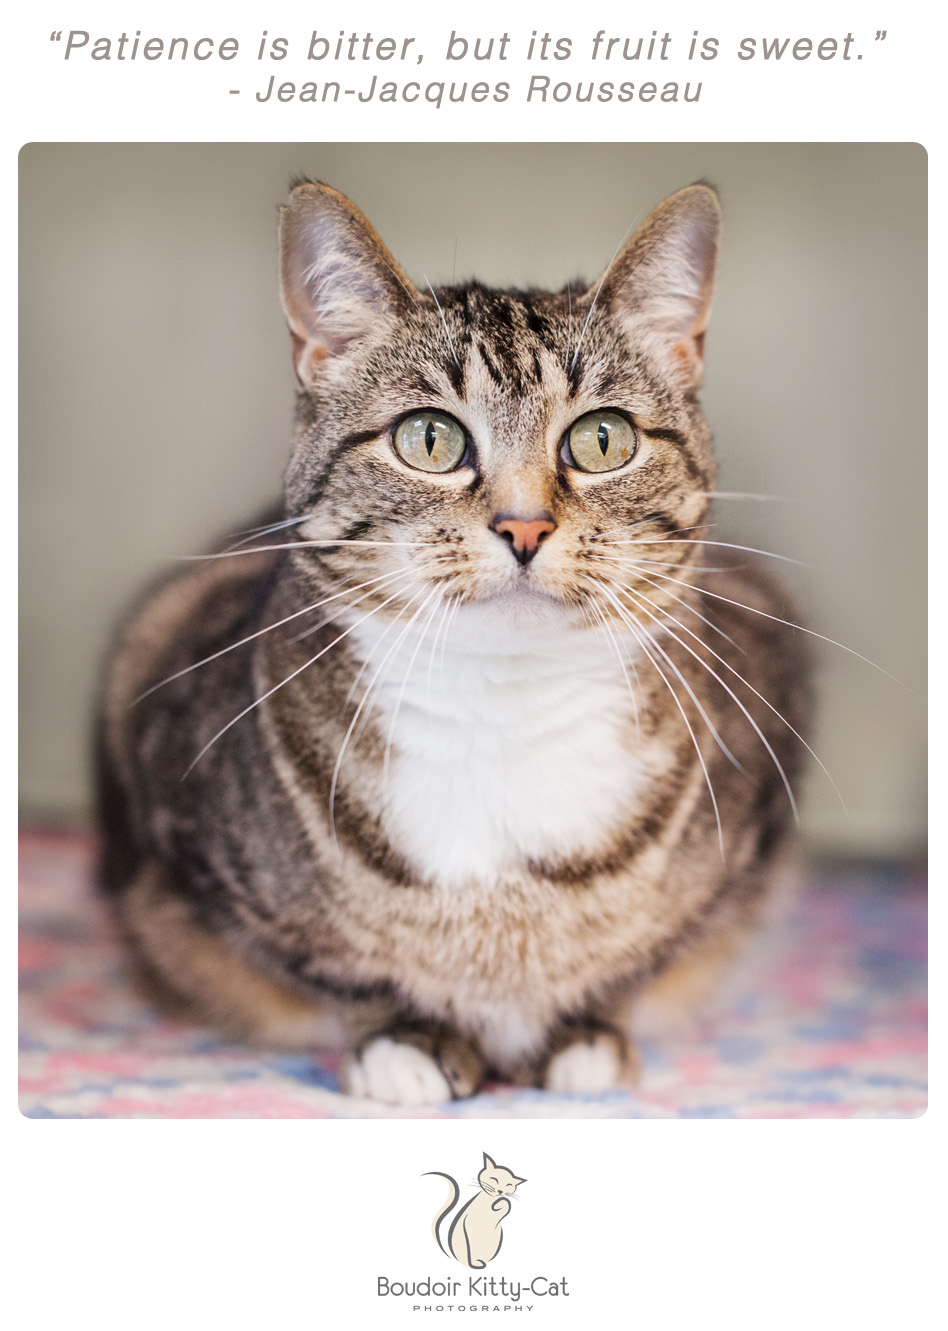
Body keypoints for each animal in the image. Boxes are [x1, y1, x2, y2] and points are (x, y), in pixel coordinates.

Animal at [97, 182, 809, 1107]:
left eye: (603, 439)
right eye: (429, 438)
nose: (524, 525)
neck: (503, 715)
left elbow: (645, 954)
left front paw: (585, 1031)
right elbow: (340, 968)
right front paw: (406, 1039)